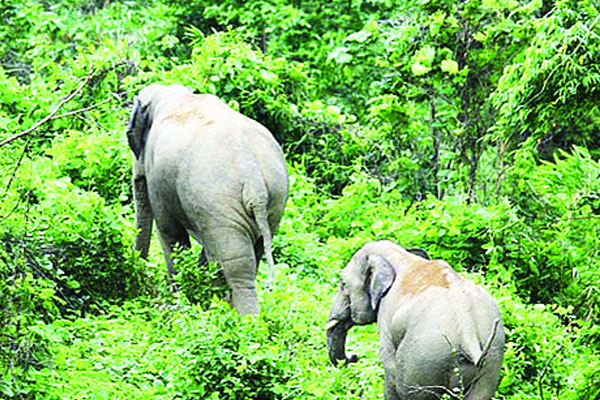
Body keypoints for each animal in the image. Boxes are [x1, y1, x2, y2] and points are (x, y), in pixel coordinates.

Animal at [126, 85, 288, 316]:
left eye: (130, 137)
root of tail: (253, 179)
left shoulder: (157, 175)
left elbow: (169, 231)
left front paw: (178, 297)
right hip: (273, 203)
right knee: (247, 257)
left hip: (218, 201)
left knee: (234, 264)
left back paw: (231, 315)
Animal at [326, 241, 504, 400]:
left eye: (343, 284)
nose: (354, 357)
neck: (401, 256)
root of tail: (468, 332)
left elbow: (390, 370)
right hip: (491, 360)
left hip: (423, 358)